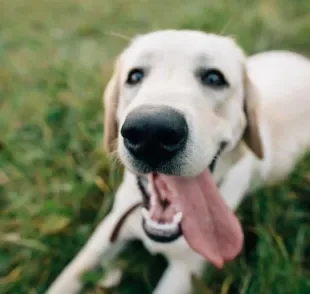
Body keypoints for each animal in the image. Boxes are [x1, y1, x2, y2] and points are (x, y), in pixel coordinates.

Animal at [46, 30, 310, 294]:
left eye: (214, 77)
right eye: (135, 76)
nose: (151, 132)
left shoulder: (186, 270)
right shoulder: (110, 226)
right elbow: (71, 274)